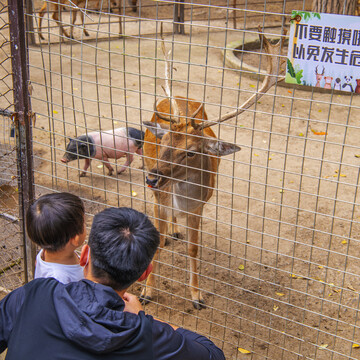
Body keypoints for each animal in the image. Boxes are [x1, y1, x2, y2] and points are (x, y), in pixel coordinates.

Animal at [142, 26, 286, 310]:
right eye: (163, 141)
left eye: (191, 151)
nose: (152, 178)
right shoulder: (161, 199)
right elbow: (156, 245)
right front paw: (146, 293)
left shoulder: (198, 207)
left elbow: (194, 249)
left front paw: (197, 297)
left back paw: (175, 230)